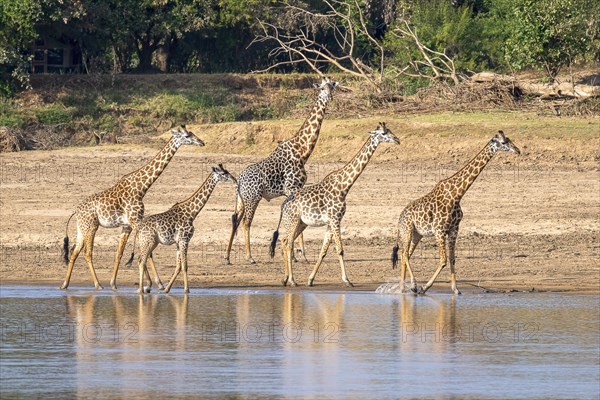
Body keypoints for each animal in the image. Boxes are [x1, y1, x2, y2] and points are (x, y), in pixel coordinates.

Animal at [61, 126, 205, 290]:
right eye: (187, 136)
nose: (202, 142)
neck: (141, 188)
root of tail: (76, 211)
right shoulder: (136, 220)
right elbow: (147, 252)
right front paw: (156, 283)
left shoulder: (127, 225)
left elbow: (120, 253)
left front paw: (114, 283)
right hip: (91, 226)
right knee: (87, 252)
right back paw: (98, 284)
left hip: (82, 228)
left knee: (74, 251)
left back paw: (65, 284)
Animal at [131, 163, 237, 294]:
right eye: (223, 174)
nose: (235, 180)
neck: (192, 213)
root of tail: (138, 228)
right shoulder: (184, 239)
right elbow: (185, 265)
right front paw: (187, 290)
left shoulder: (178, 242)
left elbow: (178, 266)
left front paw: (167, 289)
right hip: (148, 241)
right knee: (142, 261)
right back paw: (141, 290)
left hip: (150, 242)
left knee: (140, 259)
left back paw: (143, 289)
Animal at [224, 76, 338, 264]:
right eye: (321, 88)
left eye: (332, 87)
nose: (329, 97)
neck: (302, 152)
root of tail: (239, 181)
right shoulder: (292, 188)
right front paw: (300, 255)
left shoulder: (293, 191)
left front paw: (296, 255)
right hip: (253, 198)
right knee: (246, 222)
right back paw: (250, 257)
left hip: (241, 199)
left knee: (234, 220)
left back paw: (227, 257)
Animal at [270, 122, 400, 288]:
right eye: (383, 133)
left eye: (389, 131)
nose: (397, 140)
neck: (344, 186)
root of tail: (283, 206)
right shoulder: (335, 219)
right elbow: (340, 249)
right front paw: (347, 280)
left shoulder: (331, 222)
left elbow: (323, 251)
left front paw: (310, 280)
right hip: (292, 220)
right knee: (288, 243)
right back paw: (292, 280)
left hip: (301, 222)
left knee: (286, 240)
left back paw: (285, 278)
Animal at [392, 130, 516, 294]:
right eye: (504, 142)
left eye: (509, 140)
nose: (517, 150)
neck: (456, 194)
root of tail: (400, 218)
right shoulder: (439, 230)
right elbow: (443, 260)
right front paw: (425, 287)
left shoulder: (453, 230)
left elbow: (452, 259)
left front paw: (456, 290)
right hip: (407, 230)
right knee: (405, 254)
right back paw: (413, 285)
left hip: (417, 234)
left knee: (406, 254)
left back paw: (402, 287)